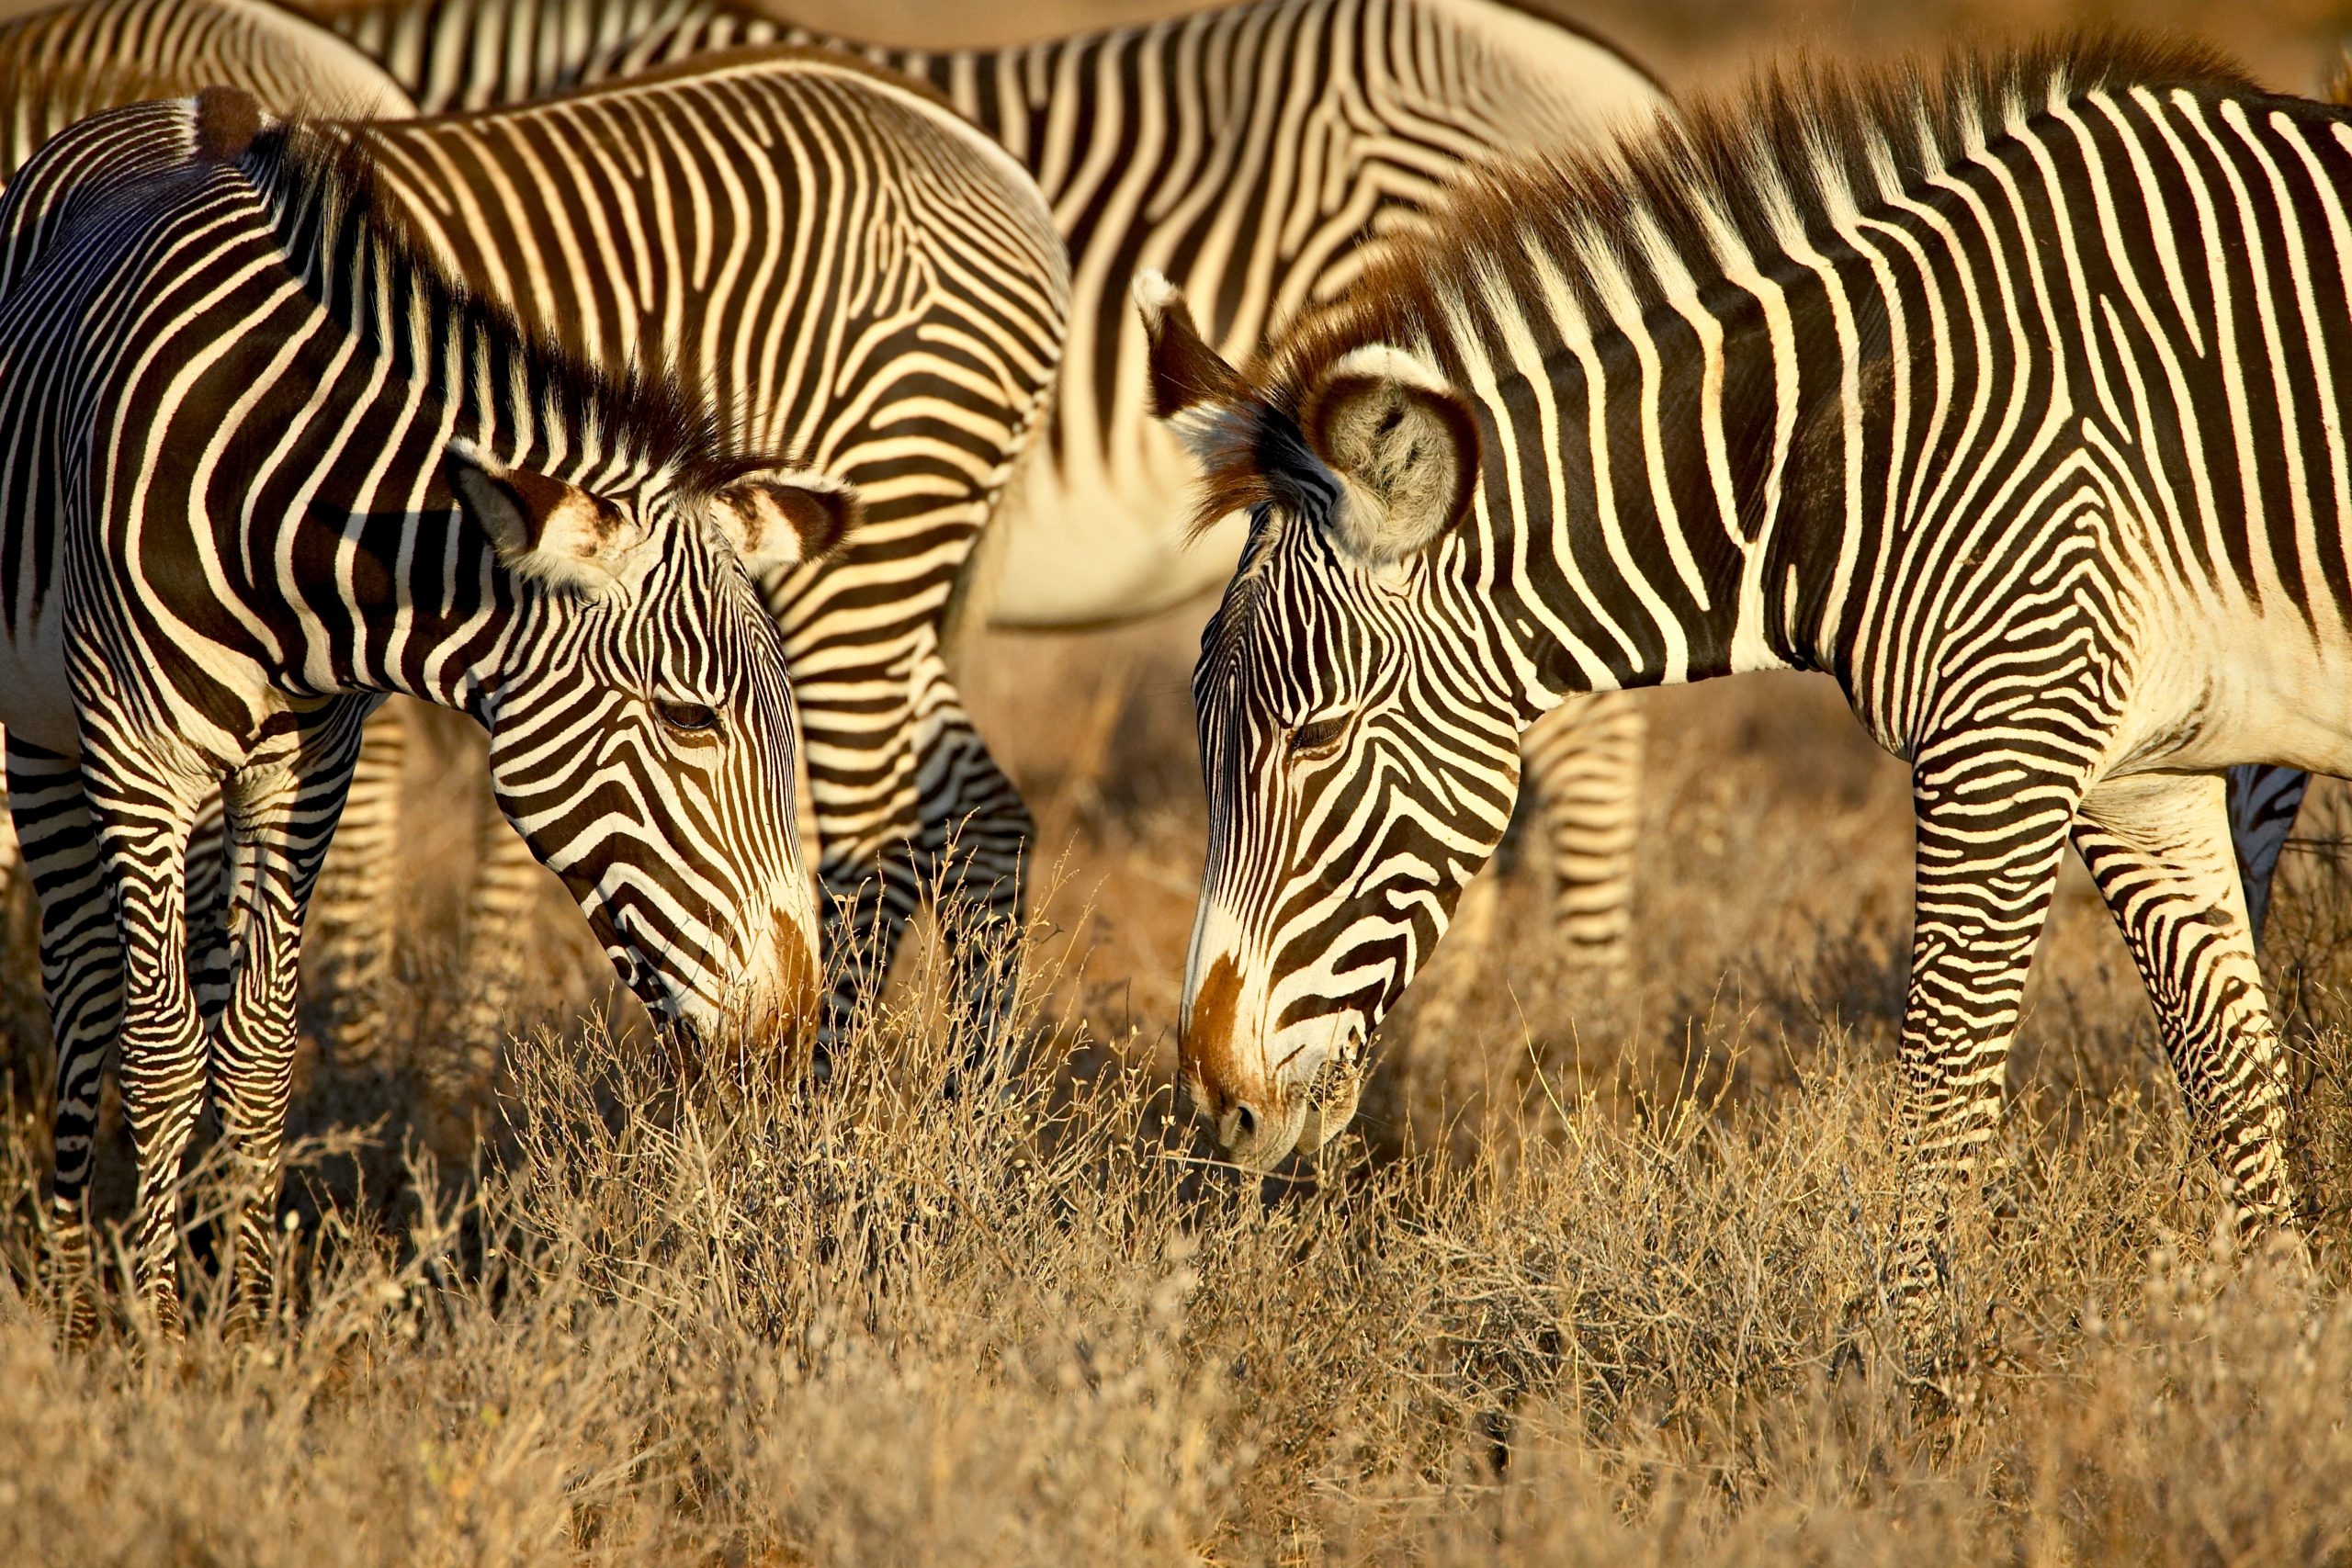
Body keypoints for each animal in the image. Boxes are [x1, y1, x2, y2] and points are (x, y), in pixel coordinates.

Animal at [0, 88, 851, 1333]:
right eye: (690, 721)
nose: (792, 1037)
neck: (296, 528)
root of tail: (182, 103)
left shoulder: (309, 769)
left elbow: (256, 1044)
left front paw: (242, 1316)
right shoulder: (140, 763)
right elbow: (157, 1049)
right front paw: (155, 1332)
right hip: (48, 737)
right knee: (83, 986)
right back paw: (71, 1287)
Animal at [1142, 36, 2350, 1351]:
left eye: (1314, 739)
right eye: (1201, 735)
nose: (1214, 1107)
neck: (1877, 431)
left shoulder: (2004, 740)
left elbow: (1942, 1090)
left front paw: (1897, 1377)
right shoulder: (2140, 772)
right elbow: (2227, 1071)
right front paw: (2276, 1350)